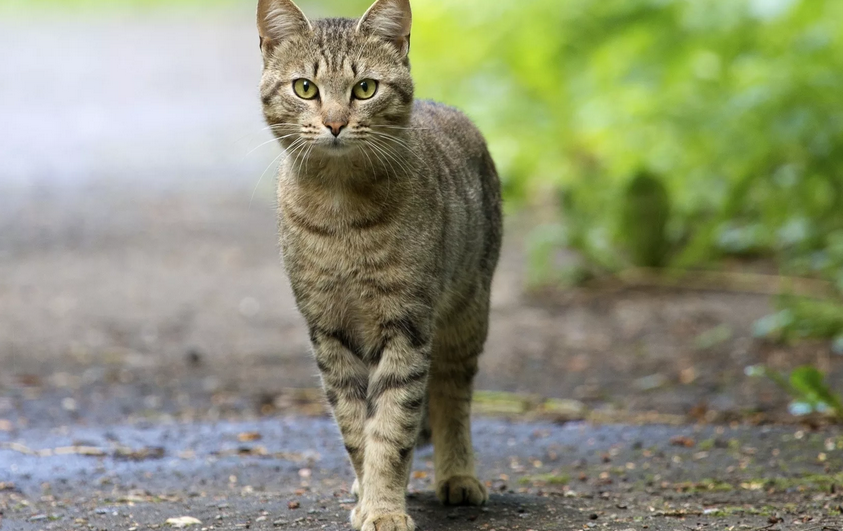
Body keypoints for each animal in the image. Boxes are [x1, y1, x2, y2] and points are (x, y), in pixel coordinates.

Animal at [256, 1, 502, 528]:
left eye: (364, 88)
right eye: (305, 87)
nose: (334, 123)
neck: (341, 210)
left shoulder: (407, 325)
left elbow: (393, 425)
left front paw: (384, 506)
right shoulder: (329, 331)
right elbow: (356, 425)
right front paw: (371, 492)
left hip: (466, 316)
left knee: (451, 398)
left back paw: (458, 475)